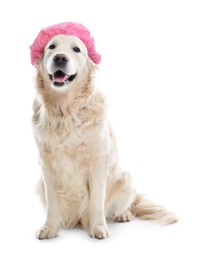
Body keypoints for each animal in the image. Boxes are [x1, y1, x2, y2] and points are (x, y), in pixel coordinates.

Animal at [31, 34, 177, 240]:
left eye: (76, 49)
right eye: (51, 47)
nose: (60, 58)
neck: (65, 111)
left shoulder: (98, 161)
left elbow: (96, 201)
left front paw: (98, 227)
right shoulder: (46, 164)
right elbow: (52, 203)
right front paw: (49, 228)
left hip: (126, 179)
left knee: (124, 205)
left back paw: (123, 214)